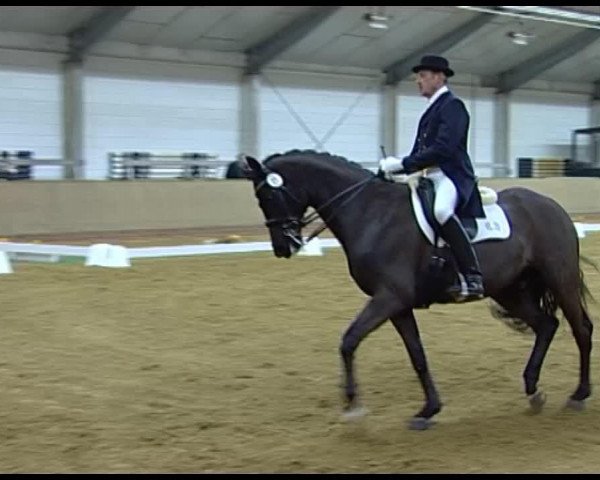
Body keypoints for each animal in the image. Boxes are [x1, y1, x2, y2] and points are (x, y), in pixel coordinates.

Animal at [243, 148, 592, 430]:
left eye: (268, 198)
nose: (283, 248)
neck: (370, 213)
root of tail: (553, 206)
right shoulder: (398, 305)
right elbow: (418, 357)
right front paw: (428, 410)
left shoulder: (389, 297)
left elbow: (349, 341)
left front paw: (353, 408)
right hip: (510, 290)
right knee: (546, 325)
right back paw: (533, 392)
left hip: (560, 277)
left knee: (581, 329)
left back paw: (579, 394)